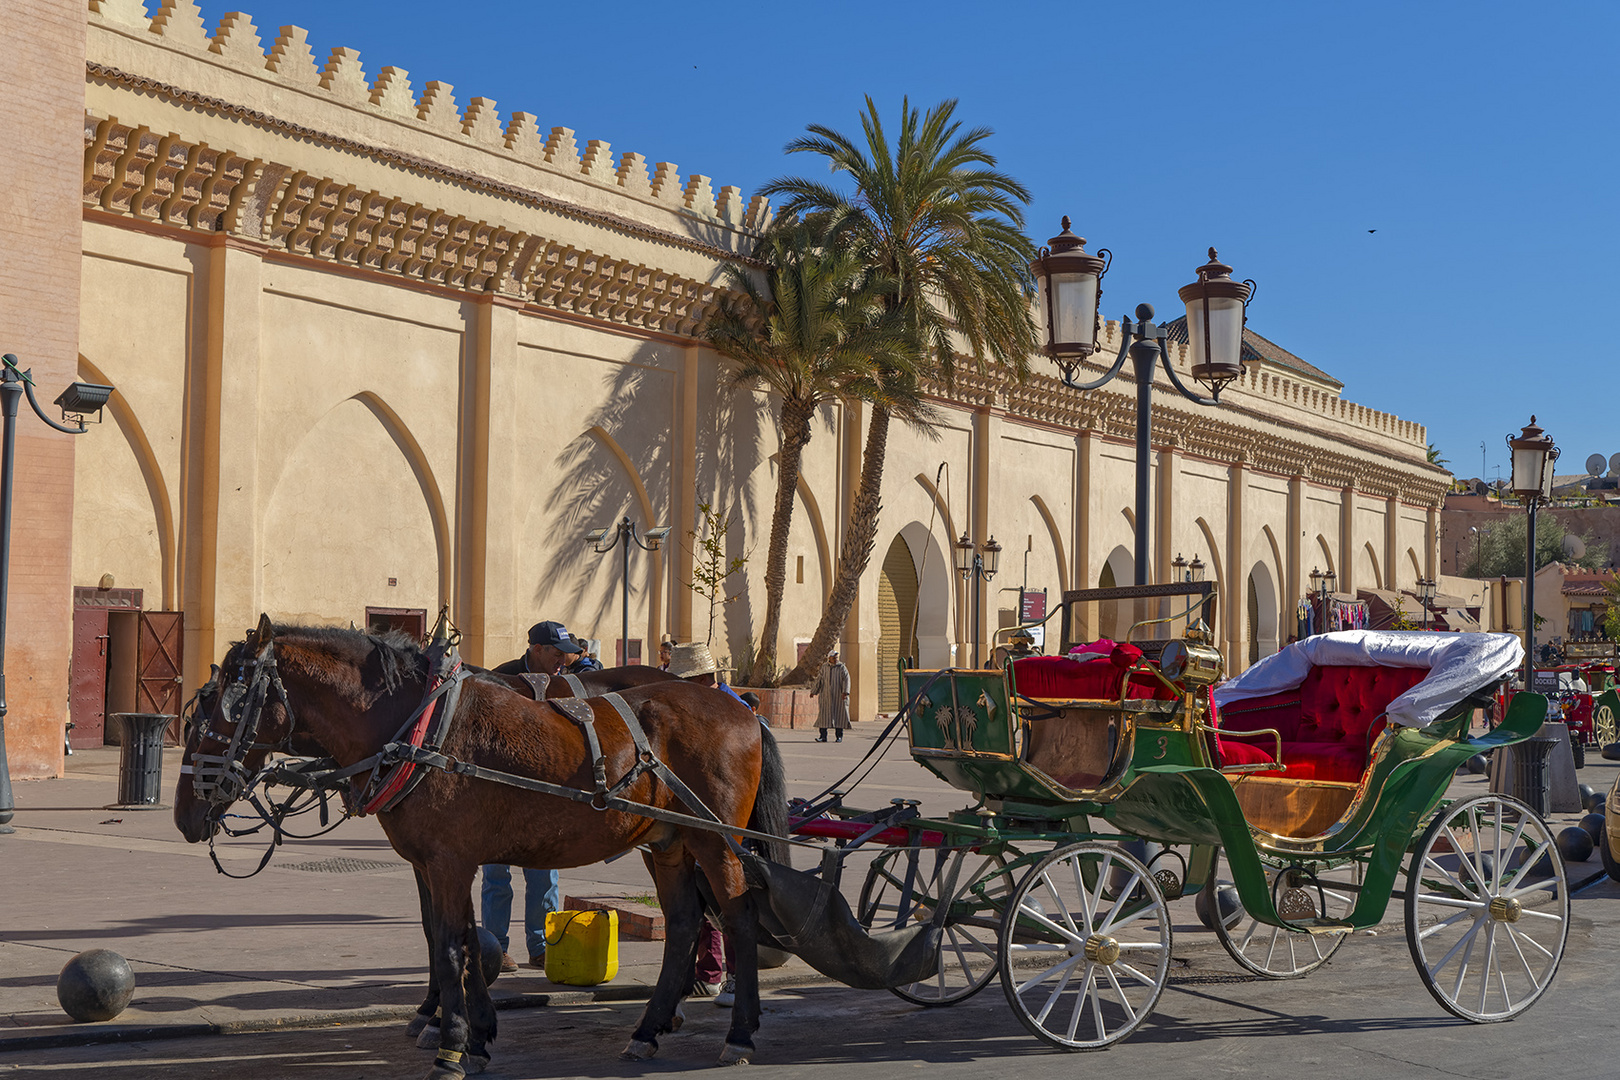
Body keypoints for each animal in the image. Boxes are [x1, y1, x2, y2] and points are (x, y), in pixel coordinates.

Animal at [172, 621, 790, 1075]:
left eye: (229, 709)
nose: (184, 814)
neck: (418, 729)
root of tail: (743, 709)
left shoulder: (448, 861)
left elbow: (448, 946)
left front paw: (451, 1044)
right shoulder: (434, 861)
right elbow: (460, 938)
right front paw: (474, 1033)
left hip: (716, 840)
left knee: (737, 917)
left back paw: (740, 1033)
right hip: (666, 841)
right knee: (684, 923)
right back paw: (648, 1029)